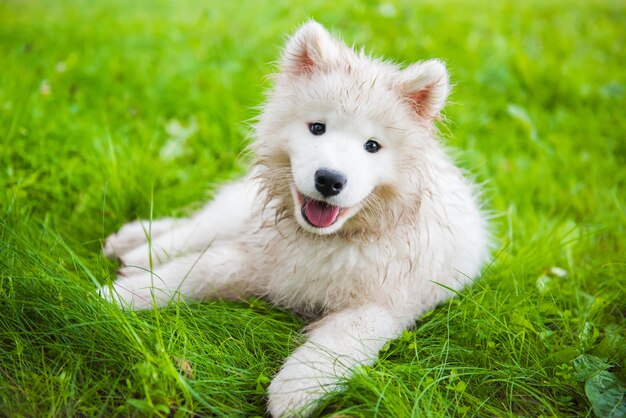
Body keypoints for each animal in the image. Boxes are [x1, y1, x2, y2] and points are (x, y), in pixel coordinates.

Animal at [102, 21, 490, 416]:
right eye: (317, 128)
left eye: (372, 146)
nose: (329, 179)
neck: (323, 242)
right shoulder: (256, 257)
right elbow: (191, 271)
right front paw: (122, 296)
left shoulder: (382, 306)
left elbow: (335, 344)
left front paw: (295, 388)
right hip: (238, 213)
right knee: (195, 227)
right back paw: (137, 249)